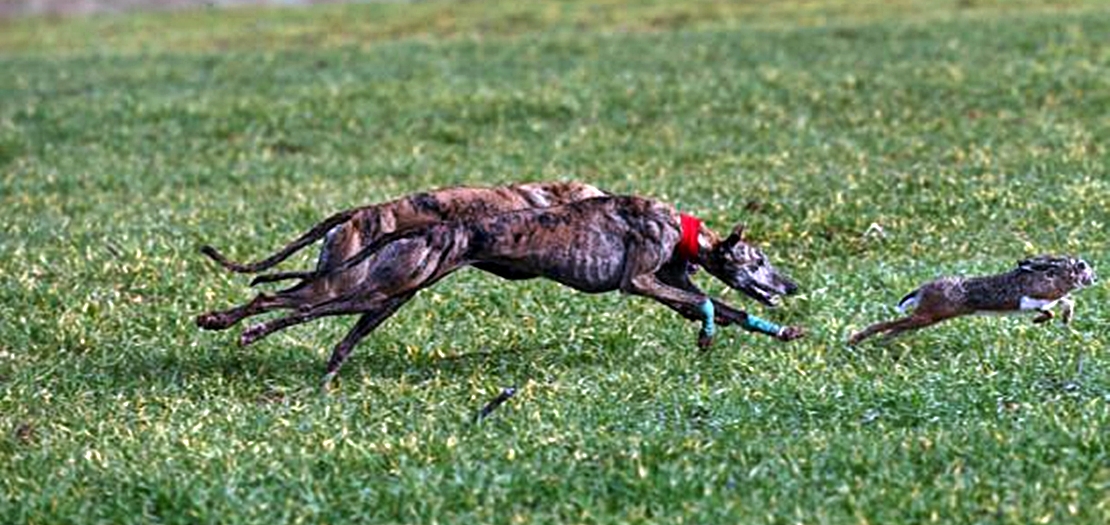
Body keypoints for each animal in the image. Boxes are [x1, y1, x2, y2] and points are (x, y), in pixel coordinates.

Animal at [195, 179, 603, 328]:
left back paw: (216, 319)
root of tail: (359, 213)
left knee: (271, 295)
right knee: (273, 298)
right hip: (340, 283)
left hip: (333, 279)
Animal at [199, 193, 803, 379]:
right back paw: (228, 323)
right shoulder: (640, 281)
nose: (793, 286)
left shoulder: (665, 283)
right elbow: (703, 301)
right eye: (760, 258)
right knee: (281, 299)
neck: (680, 230)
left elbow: (720, 306)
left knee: (331, 329)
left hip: (389, 295)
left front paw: (781, 331)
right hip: (369, 288)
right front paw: (707, 335)